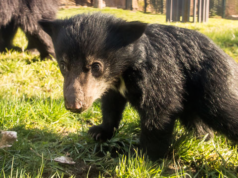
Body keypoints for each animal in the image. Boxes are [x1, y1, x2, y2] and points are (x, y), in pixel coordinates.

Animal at [38, 13, 238, 161]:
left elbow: (160, 109)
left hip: (213, 82)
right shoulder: (112, 87)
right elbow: (111, 106)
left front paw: (144, 156)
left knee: (226, 109)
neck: (122, 71)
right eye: (63, 65)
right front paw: (99, 132)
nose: (74, 106)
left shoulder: (158, 74)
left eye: (96, 66)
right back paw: (201, 139)